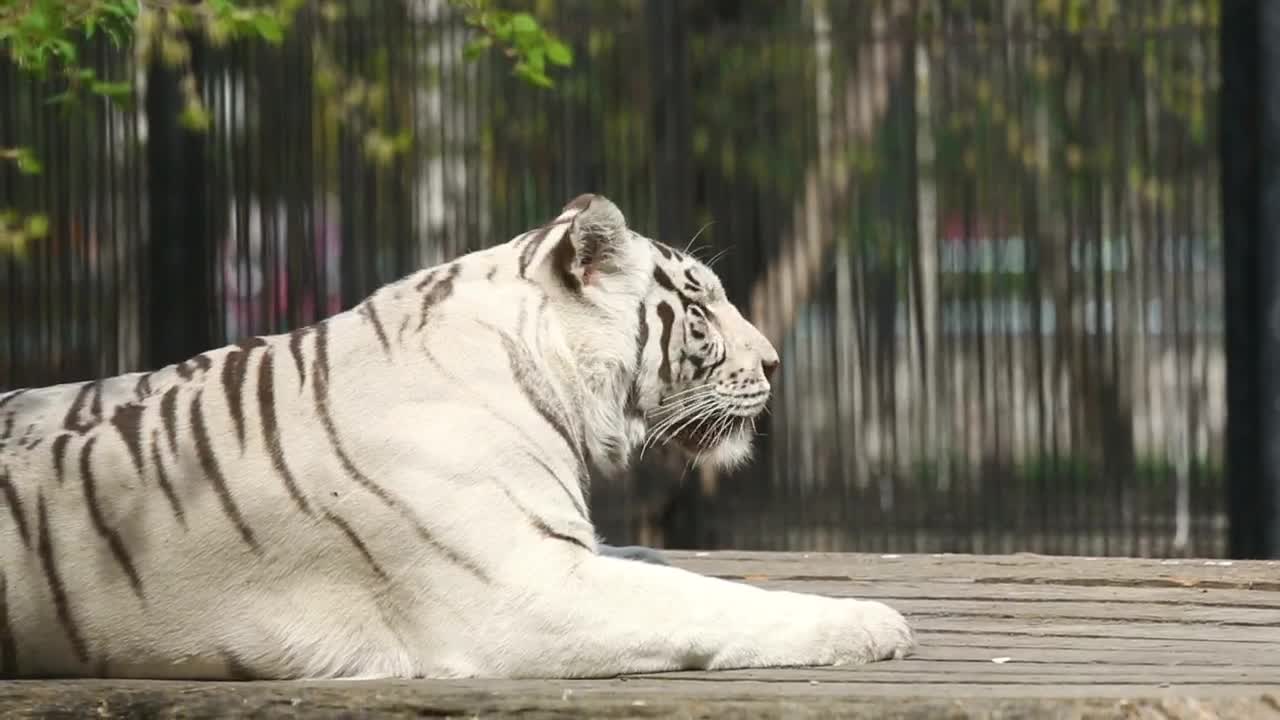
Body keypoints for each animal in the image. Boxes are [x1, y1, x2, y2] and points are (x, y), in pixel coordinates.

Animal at [0, 193, 914, 680]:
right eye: (698, 305)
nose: (776, 361)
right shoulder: (525, 589)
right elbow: (711, 601)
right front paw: (872, 622)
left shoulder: (559, 546)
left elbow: (668, 567)